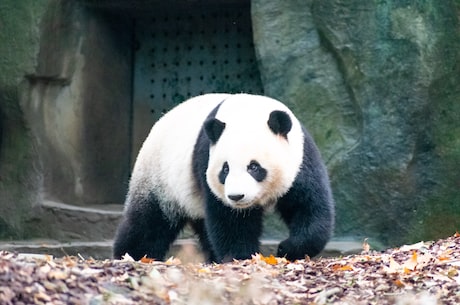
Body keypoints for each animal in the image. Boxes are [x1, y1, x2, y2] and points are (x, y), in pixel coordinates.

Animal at [111, 92, 334, 262]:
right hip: (159, 177)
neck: (247, 111)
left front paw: (287, 248)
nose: (237, 196)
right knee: (149, 221)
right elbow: (230, 220)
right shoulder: (206, 158)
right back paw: (131, 254)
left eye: (254, 167)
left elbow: (309, 206)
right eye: (225, 169)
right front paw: (242, 257)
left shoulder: (301, 159)